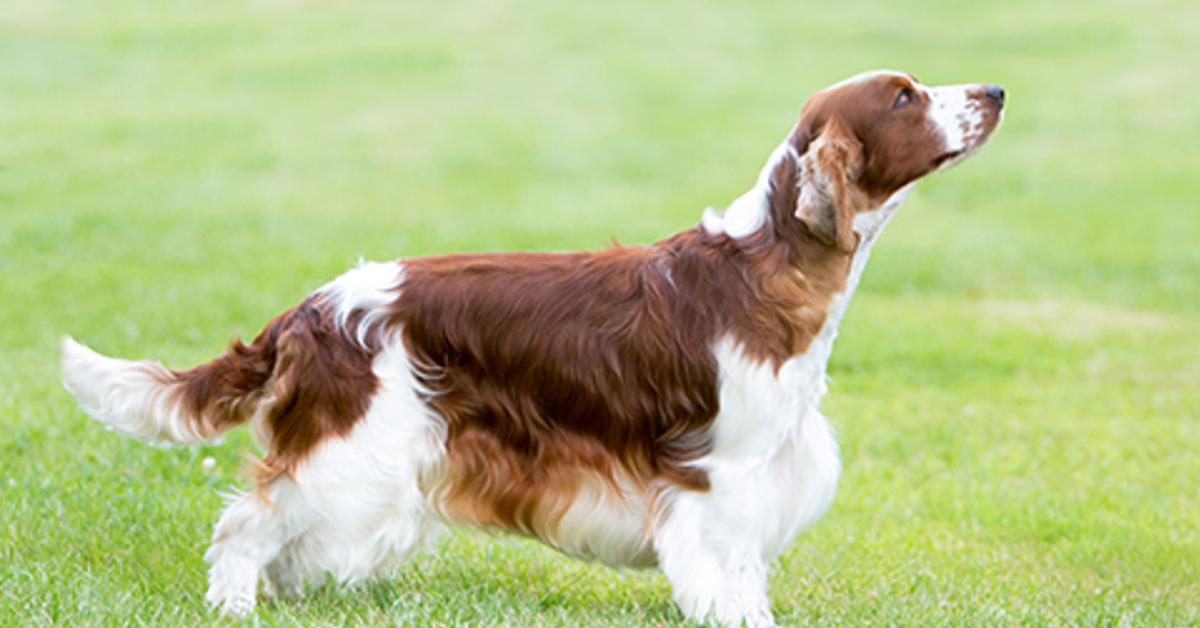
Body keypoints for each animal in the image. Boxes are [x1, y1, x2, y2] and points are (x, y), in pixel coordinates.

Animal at [63, 71, 1003, 624]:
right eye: (906, 98)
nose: (993, 89)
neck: (763, 264)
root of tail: (308, 311)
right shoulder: (722, 476)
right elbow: (729, 576)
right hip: (353, 447)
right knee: (247, 524)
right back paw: (234, 605)